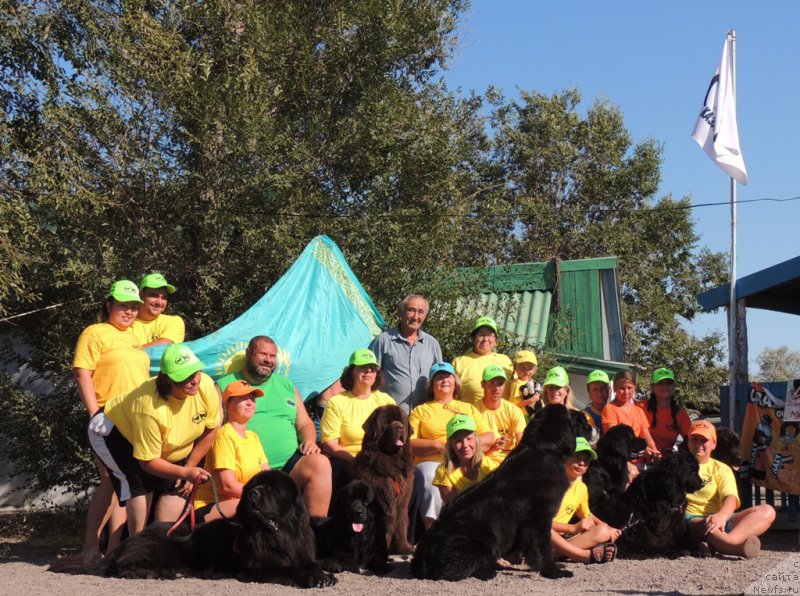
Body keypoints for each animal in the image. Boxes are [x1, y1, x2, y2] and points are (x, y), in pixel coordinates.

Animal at [49, 472, 338, 588]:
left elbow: (307, 563)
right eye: (255, 487)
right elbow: (288, 569)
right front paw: (311, 578)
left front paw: (322, 574)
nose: (253, 493)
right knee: (125, 567)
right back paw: (163, 573)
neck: (276, 534)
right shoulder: (257, 568)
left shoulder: (299, 550)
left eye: (272, 490)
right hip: (165, 546)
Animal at [348, 406, 412, 556]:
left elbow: (401, 525)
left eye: (402, 421)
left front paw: (403, 549)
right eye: (387, 423)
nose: (400, 428)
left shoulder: (402, 503)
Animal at [412, 402, 576, 580]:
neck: (540, 448)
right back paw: (486, 571)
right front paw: (554, 571)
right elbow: (543, 548)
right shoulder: (539, 519)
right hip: (482, 541)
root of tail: (420, 556)